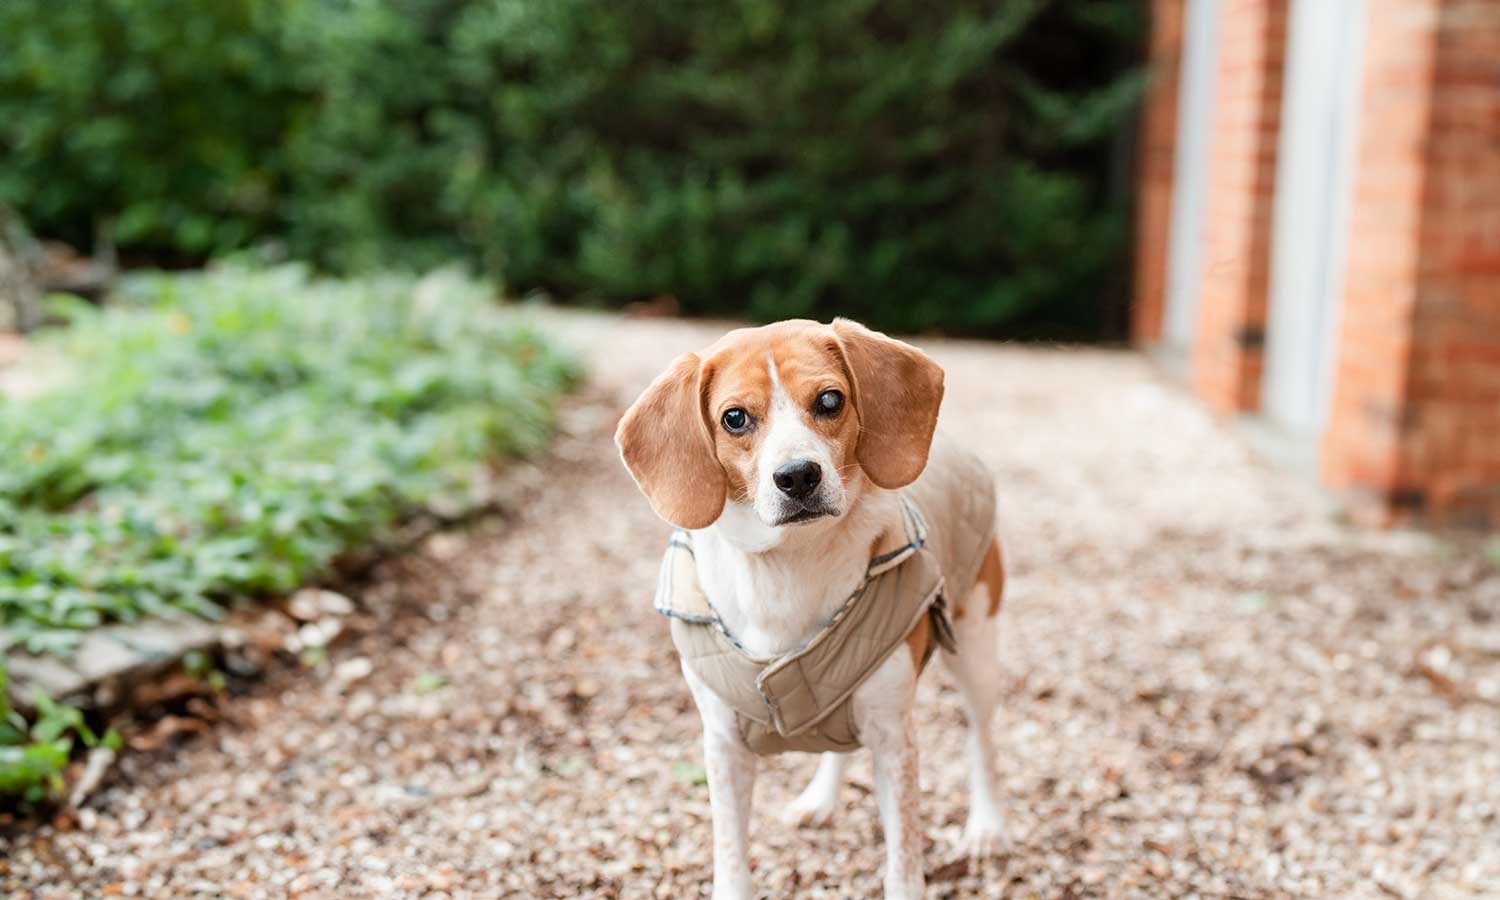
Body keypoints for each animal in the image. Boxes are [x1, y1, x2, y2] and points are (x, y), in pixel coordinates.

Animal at [615, 318, 1014, 900]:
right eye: (734, 417)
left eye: (830, 400)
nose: (798, 475)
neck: (788, 569)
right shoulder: (724, 745)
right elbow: (731, 857)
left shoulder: (894, 739)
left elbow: (903, 862)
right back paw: (820, 800)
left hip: (978, 648)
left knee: (982, 741)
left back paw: (987, 827)